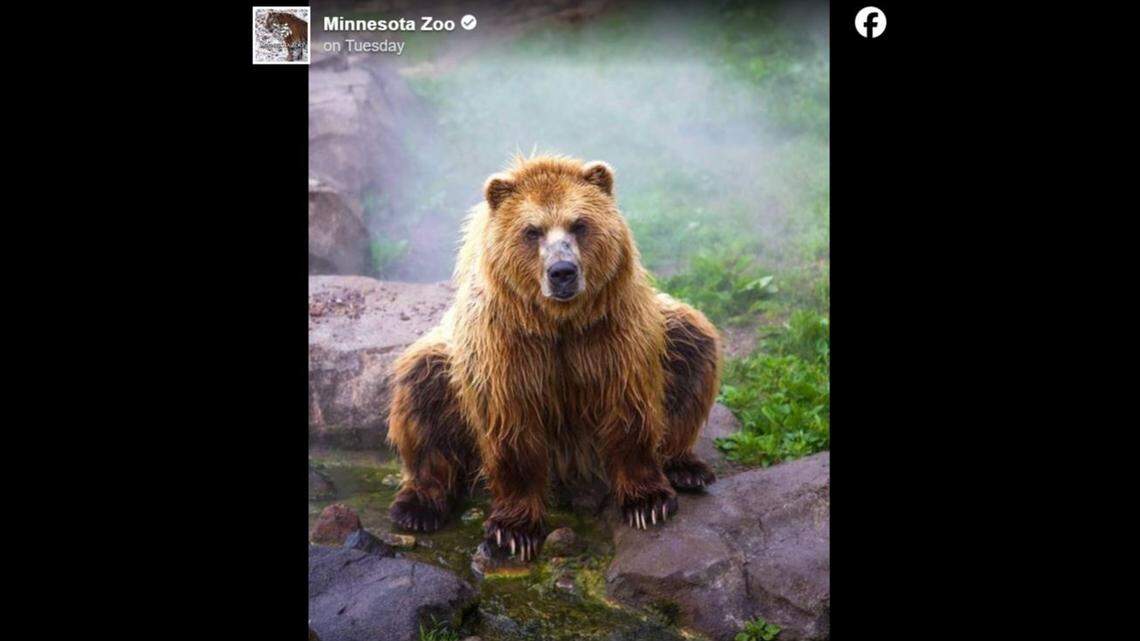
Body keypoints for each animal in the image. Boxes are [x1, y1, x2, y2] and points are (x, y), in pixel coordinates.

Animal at [387, 155, 721, 561]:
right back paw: (417, 507)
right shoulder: (506, 346)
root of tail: (572, 465)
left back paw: (685, 466)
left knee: (693, 344)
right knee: (421, 390)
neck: (558, 321)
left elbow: (630, 407)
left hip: (666, 332)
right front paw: (514, 531)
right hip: (447, 359)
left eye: (579, 224)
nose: (562, 271)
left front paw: (648, 502)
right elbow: (512, 429)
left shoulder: (612, 332)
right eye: (532, 231)